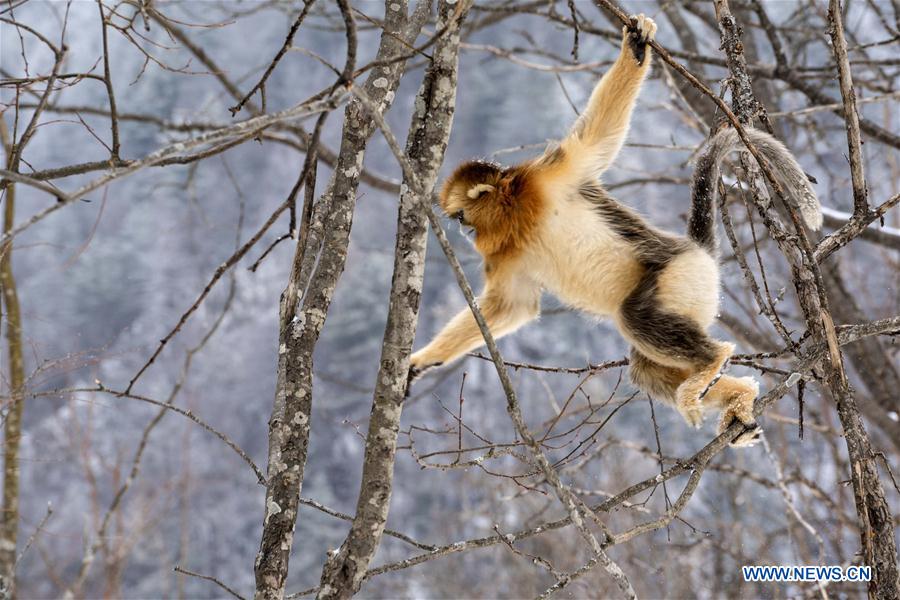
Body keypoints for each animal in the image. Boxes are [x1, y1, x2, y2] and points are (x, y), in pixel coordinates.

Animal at [408, 15, 824, 446]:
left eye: (460, 217)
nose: (464, 233)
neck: (521, 219)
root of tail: (700, 250)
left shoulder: (546, 177)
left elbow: (597, 138)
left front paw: (636, 48)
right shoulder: (506, 255)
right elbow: (512, 306)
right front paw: (422, 361)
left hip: (682, 276)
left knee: (636, 317)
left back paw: (713, 361)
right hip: (693, 300)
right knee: (647, 368)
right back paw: (738, 395)